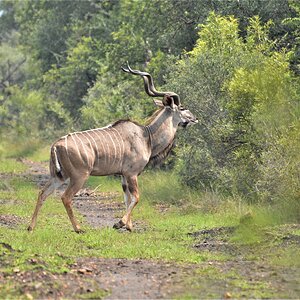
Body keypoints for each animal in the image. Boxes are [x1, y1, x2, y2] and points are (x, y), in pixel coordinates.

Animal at [27, 62, 197, 232]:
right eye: (182, 108)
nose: (194, 118)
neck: (147, 136)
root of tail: (56, 145)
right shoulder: (131, 174)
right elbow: (136, 197)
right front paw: (120, 223)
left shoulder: (123, 175)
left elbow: (127, 198)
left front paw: (129, 226)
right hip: (79, 176)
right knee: (65, 197)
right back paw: (78, 228)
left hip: (58, 176)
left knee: (42, 193)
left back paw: (31, 227)